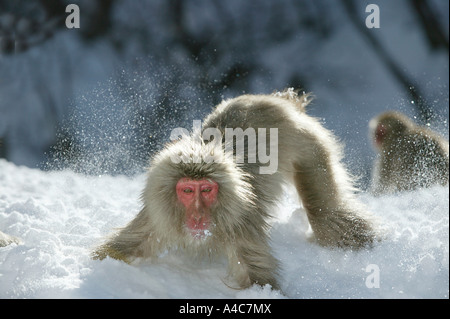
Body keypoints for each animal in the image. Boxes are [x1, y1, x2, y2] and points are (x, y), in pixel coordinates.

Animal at [93, 89, 378, 290]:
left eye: (206, 190)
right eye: (188, 191)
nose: (198, 215)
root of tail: (270, 100)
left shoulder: (240, 221)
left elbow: (260, 282)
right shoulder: (156, 216)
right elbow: (116, 251)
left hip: (309, 145)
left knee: (325, 217)